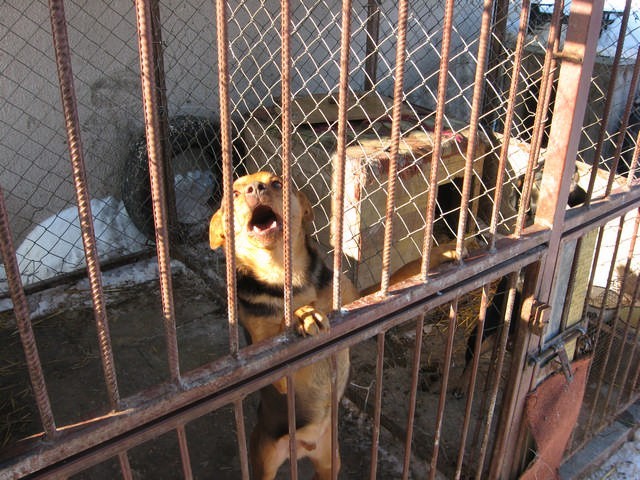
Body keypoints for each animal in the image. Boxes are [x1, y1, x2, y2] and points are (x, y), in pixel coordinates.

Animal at [210, 172, 360, 480]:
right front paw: (303, 315)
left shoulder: (354, 299)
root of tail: (303, 448)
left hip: (330, 460)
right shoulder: (266, 358)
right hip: (264, 458)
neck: (281, 272)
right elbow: (282, 327)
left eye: (277, 182)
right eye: (234, 193)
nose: (255, 188)